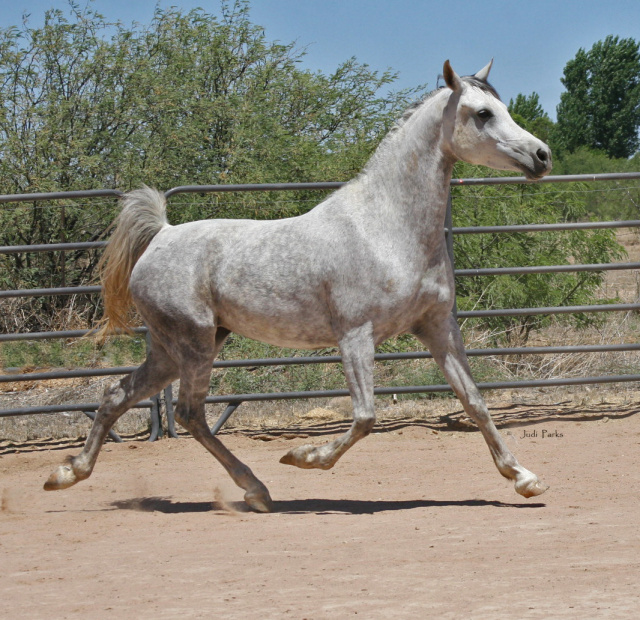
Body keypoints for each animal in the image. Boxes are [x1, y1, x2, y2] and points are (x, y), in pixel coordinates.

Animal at [46, 60, 552, 512]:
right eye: (482, 113)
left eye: (503, 107)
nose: (542, 156)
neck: (386, 229)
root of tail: (162, 235)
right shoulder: (355, 336)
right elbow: (365, 417)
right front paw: (302, 456)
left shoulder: (437, 327)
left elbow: (475, 401)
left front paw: (524, 478)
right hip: (192, 344)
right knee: (189, 413)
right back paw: (256, 490)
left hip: (179, 348)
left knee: (118, 396)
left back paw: (68, 473)